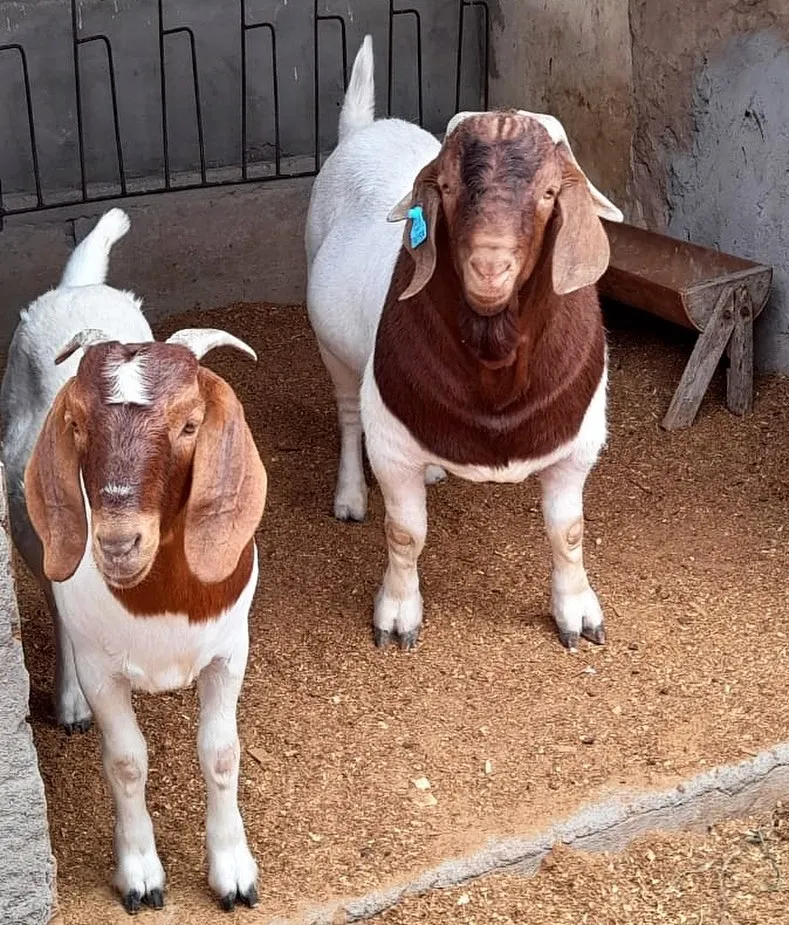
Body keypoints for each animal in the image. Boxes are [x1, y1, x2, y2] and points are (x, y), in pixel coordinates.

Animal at [0, 209, 267, 913]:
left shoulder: (229, 651)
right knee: (55, 605)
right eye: (78, 425)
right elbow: (125, 760)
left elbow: (220, 753)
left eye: (190, 424)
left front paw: (233, 873)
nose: (118, 542)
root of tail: (78, 285)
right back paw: (67, 703)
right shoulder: (105, 669)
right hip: (38, 539)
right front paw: (141, 875)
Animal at [305, 36, 624, 652]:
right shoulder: (392, 443)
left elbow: (568, 532)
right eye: (447, 188)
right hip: (336, 351)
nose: (489, 267)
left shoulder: (577, 445)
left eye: (549, 191)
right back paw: (351, 496)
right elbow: (405, 533)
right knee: (349, 413)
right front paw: (397, 616)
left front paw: (578, 614)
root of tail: (366, 128)